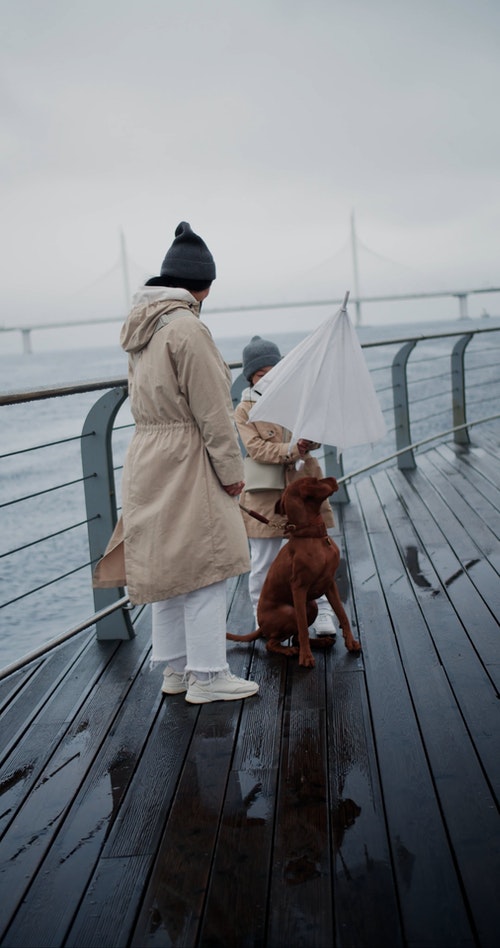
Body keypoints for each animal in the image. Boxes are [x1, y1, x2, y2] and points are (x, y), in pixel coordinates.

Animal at [229, 474, 362, 668]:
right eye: (315, 481)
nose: (332, 477)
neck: (314, 536)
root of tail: (261, 626)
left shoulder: (330, 583)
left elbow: (342, 615)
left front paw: (351, 642)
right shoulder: (298, 588)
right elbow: (302, 626)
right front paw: (306, 657)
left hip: (311, 605)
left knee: (296, 637)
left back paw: (322, 642)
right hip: (289, 611)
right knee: (273, 643)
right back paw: (290, 651)